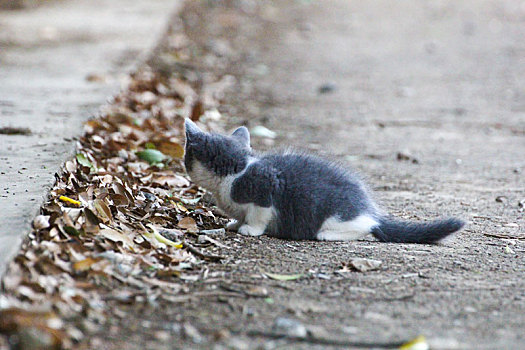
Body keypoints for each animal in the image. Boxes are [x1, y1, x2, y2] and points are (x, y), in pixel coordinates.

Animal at [184, 119, 462, 242]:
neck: (238, 170)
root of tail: (370, 210)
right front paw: (234, 223)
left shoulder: (265, 189)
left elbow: (258, 214)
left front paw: (249, 228)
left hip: (338, 214)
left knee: (366, 227)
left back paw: (328, 234)